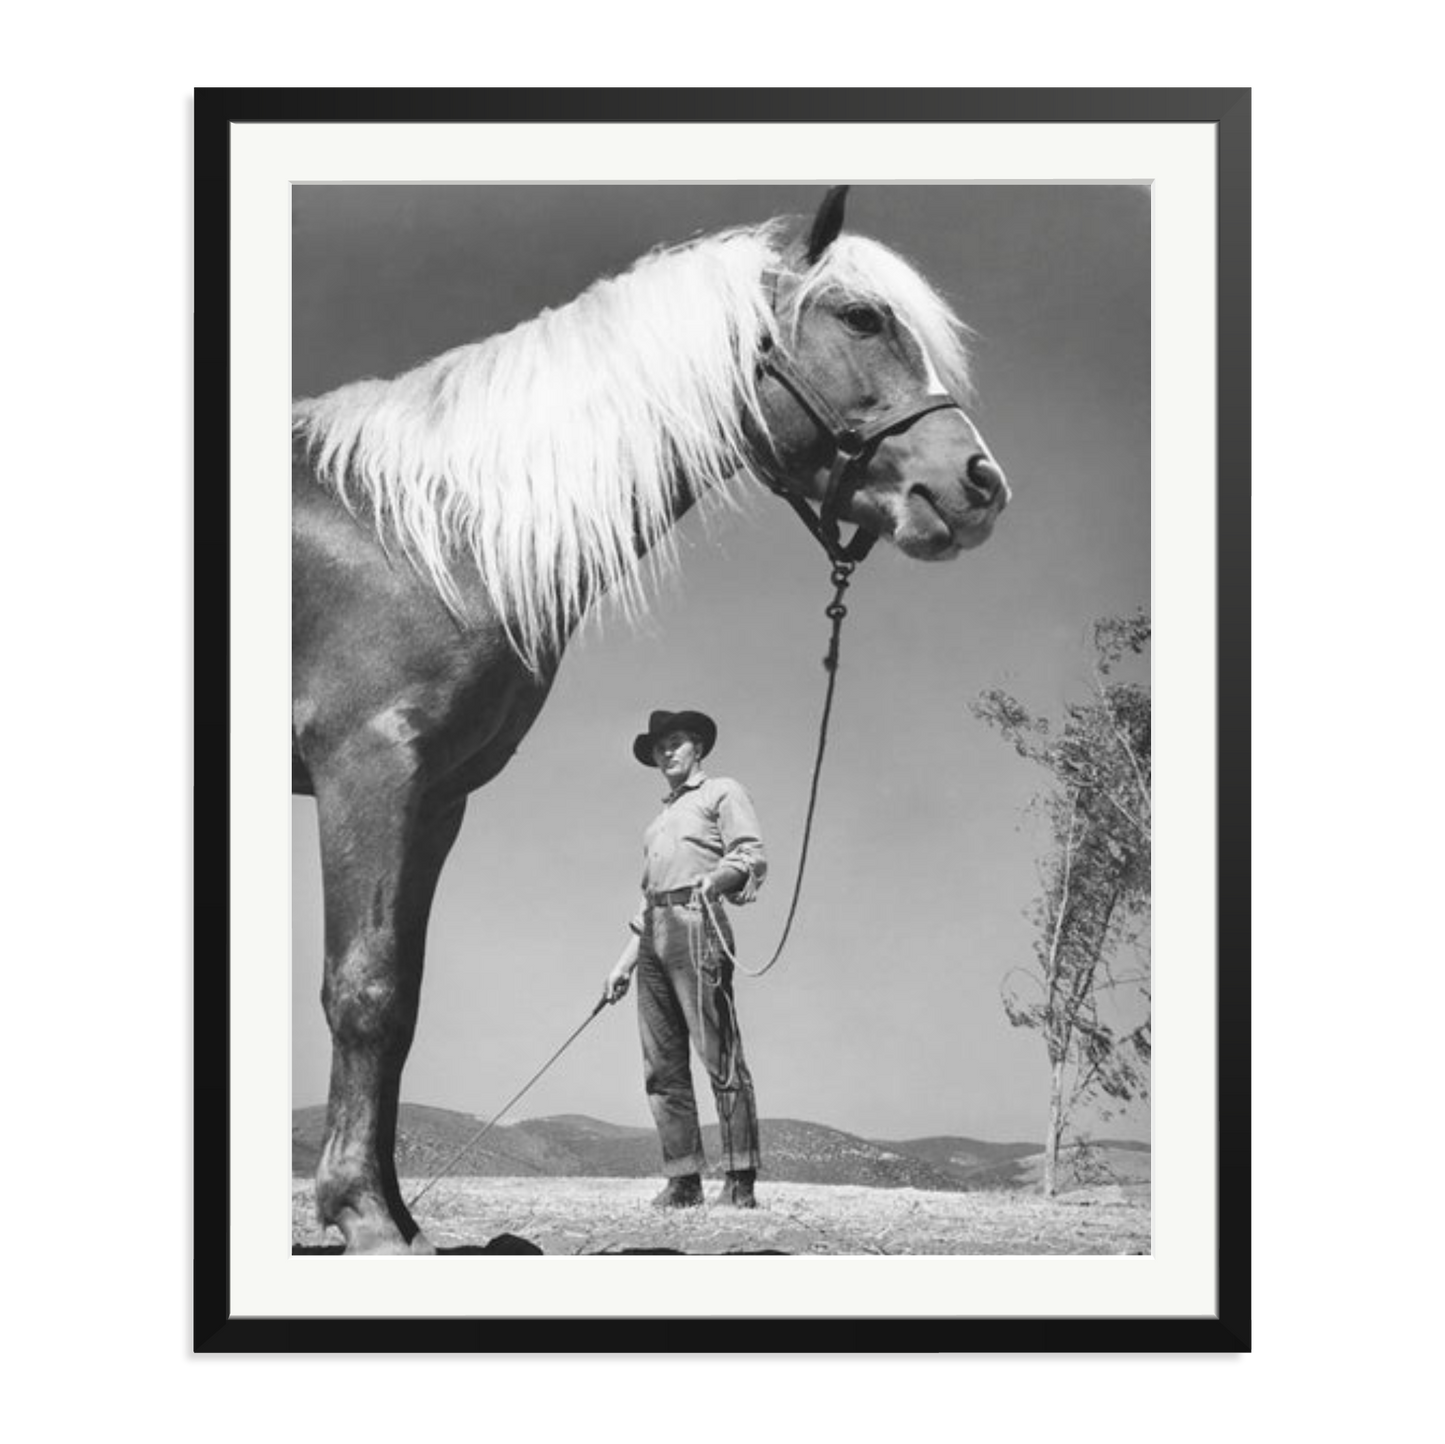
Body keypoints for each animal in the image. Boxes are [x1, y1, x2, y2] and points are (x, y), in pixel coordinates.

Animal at [292, 187, 1010, 1254]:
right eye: (860, 317)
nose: (978, 486)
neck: (416, 530)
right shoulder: (365, 768)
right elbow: (366, 989)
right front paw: (364, 1218)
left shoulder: (436, 797)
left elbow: (405, 997)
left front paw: (393, 1212)